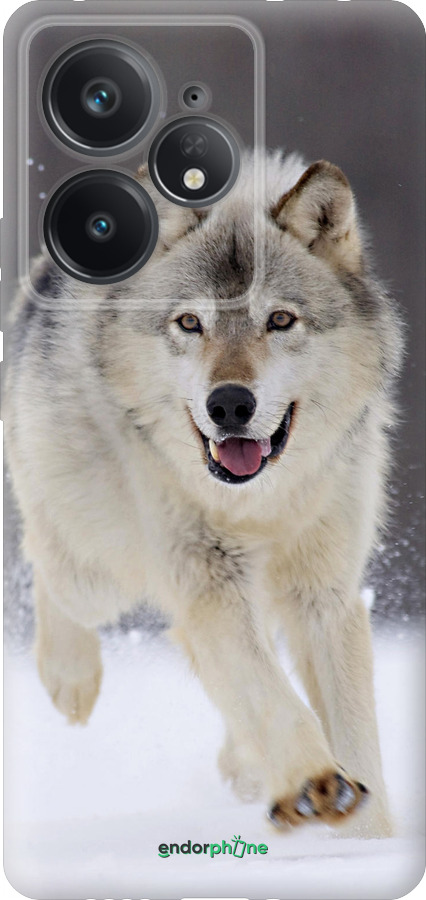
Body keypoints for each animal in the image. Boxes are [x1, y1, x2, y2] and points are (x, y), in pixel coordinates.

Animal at [4, 152, 403, 837]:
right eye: (190, 322)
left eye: (280, 320)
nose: (230, 404)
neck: (260, 503)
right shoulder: (207, 580)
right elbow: (272, 696)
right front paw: (315, 783)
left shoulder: (324, 594)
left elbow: (351, 733)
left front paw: (366, 836)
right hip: (98, 570)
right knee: (47, 564)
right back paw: (70, 680)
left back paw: (245, 765)